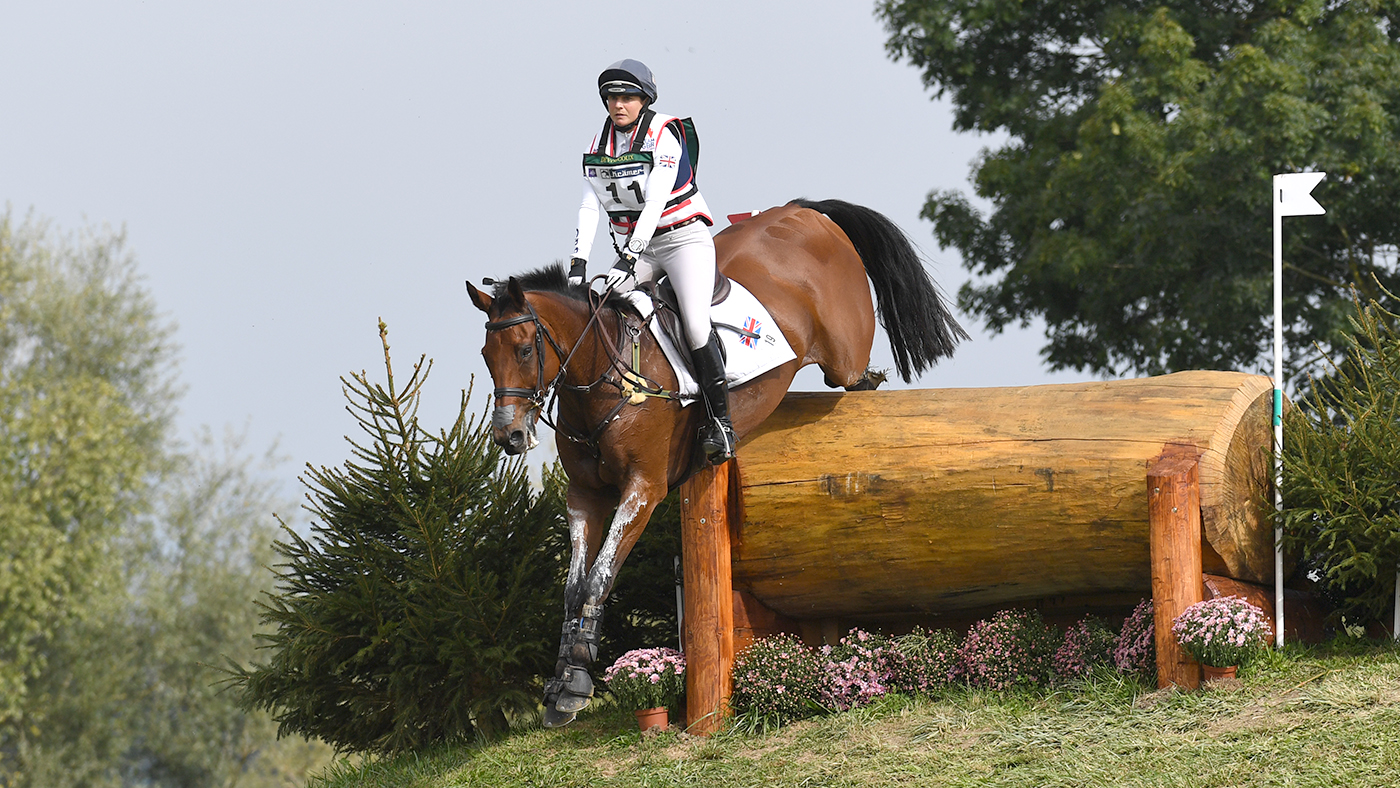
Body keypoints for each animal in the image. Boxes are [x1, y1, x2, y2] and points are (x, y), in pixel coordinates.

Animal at [465, 198, 967, 726]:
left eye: (524, 350)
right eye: (486, 355)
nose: (509, 436)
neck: (605, 372)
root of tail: (803, 210)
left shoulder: (642, 489)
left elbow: (598, 579)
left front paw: (576, 686)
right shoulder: (585, 496)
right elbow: (574, 587)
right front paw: (562, 683)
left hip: (844, 360)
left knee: (862, 380)